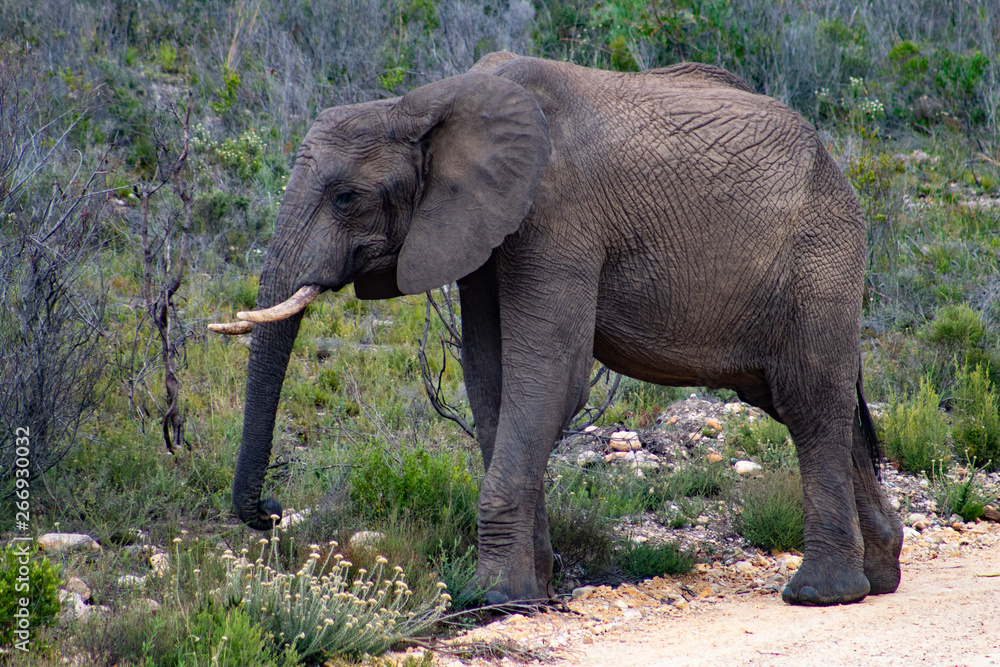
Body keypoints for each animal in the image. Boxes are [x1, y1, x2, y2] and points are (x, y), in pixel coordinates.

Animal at [213, 51, 908, 604]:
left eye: (345, 198)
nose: (272, 512)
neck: (429, 101)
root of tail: (834, 163)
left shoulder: (556, 213)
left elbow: (550, 380)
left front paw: (494, 597)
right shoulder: (483, 231)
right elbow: (493, 383)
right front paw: (530, 589)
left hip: (822, 252)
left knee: (808, 399)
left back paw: (820, 595)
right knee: (809, 401)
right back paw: (880, 578)